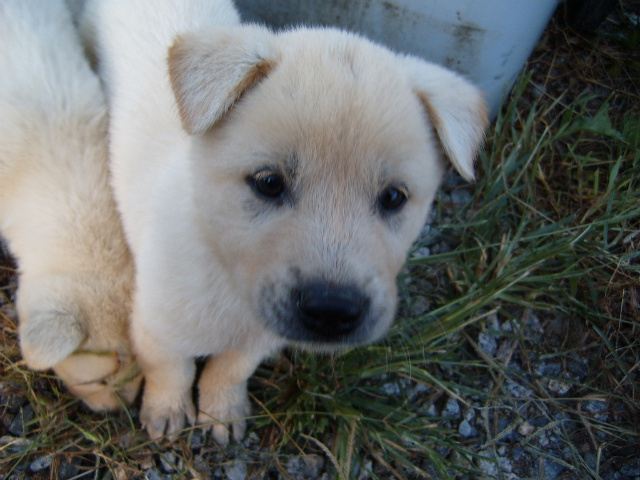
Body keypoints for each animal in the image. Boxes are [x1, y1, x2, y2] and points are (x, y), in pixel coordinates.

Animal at [82, 0, 488, 442]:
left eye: (394, 197)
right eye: (268, 183)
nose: (332, 311)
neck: (225, 271)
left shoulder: (260, 337)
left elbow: (229, 370)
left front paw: (222, 410)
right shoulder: (154, 325)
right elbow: (171, 370)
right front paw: (167, 410)